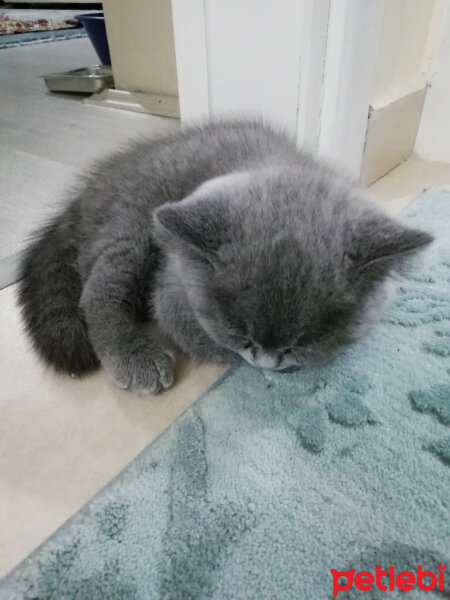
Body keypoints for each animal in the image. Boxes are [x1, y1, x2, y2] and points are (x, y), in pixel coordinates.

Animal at [17, 120, 432, 394]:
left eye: (300, 340)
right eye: (240, 333)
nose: (269, 361)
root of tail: (87, 191)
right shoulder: (172, 290)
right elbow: (197, 333)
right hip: (129, 226)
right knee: (100, 290)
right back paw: (133, 356)